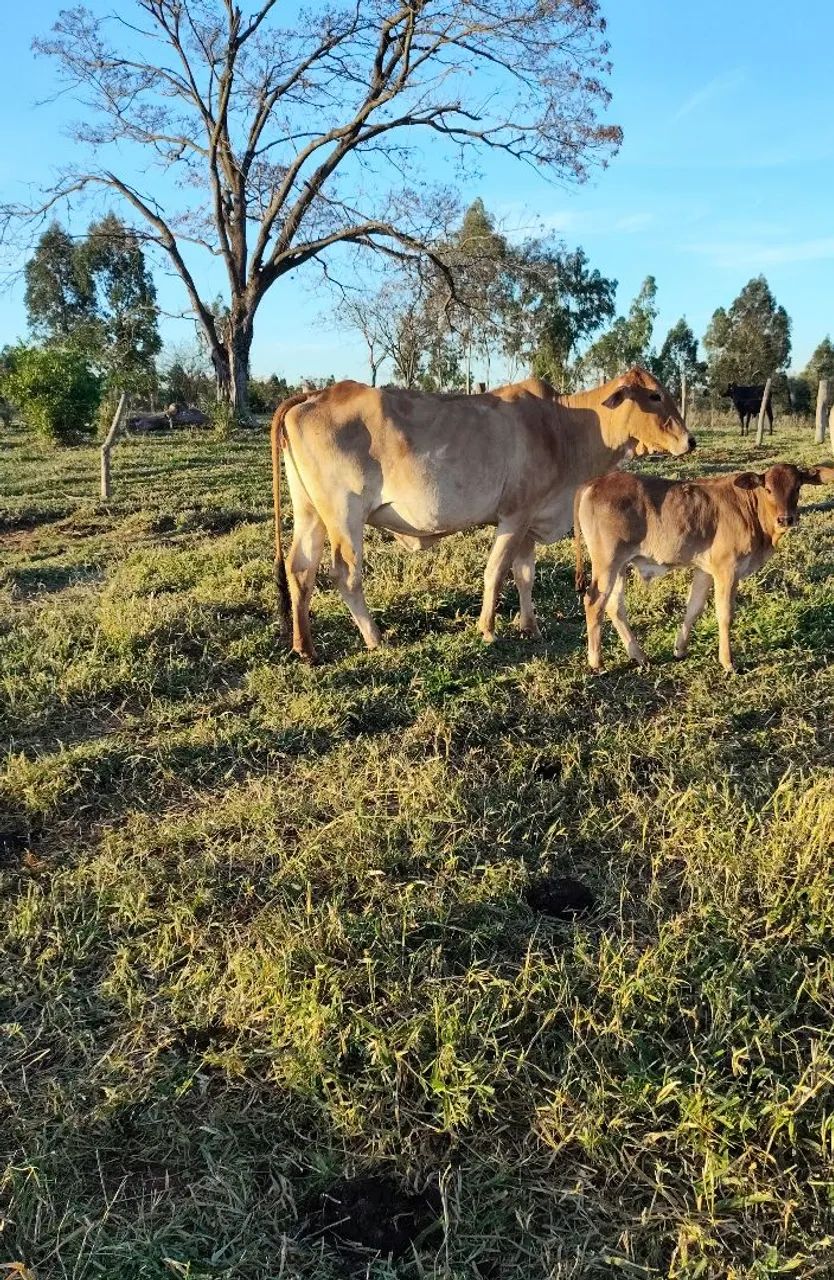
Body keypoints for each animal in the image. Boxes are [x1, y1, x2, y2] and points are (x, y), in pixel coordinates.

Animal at [270, 367, 695, 662]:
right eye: (654, 395)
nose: (689, 440)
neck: (565, 425)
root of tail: (313, 394)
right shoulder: (513, 516)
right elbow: (496, 573)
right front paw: (488, 629)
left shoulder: (529, 521)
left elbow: (524, 576)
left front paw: (529, 626)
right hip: (344, 516)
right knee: (345, 575)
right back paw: (375, 638)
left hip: (310, 513)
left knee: (300, 569)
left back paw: (305, 647)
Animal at [573, 462, 834, 674]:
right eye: (768, 489)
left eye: (797, 487)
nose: (786, 519)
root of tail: (594, 482)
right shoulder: (727, 569)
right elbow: (725, 614)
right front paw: (728, 662)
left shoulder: (705, 570)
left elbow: (694, 608)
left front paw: (680, 649)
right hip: (607, 562)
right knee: (594, 602)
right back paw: (597, 663)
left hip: (619, 566)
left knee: (614, 606)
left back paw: (640, 656)